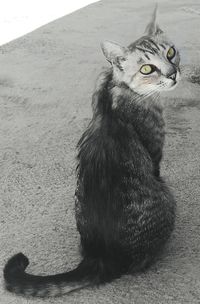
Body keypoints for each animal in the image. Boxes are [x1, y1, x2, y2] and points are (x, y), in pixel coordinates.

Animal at [3, 5, 180, 298]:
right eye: (147, 69)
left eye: (170, 53)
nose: (172, 73)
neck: (115, 85)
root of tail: (99, 258)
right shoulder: (155, 150)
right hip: (166, 197)